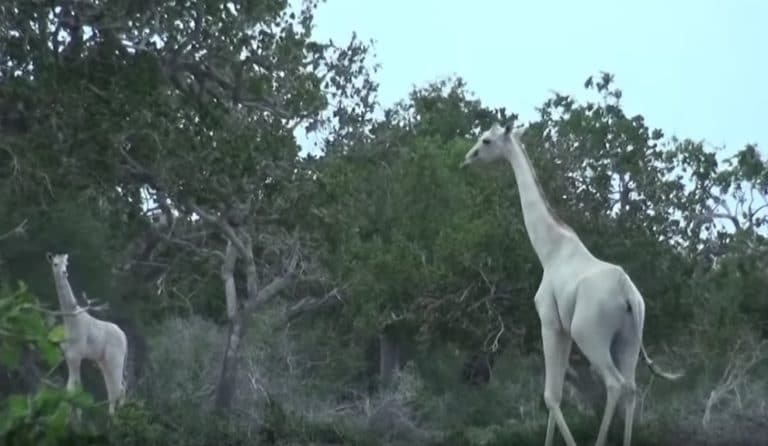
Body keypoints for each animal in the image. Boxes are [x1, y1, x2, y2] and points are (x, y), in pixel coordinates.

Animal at [47, 252, 128, 416]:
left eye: (66, 263)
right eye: (55, 264)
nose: (64, 272)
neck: (71, 320)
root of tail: (124, 337)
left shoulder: (76, 355)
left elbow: (74, 389)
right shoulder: (69, 356)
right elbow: (70, 389)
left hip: (115, 358)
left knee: (119, 388)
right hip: (103, 360)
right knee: (114, 388)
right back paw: (112, 416)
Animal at [460, 123, 683, 446]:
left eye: (486, 140)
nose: (468, 159)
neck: (550, 250)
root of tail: (628, 295)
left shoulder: (550, 323)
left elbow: (551, 396)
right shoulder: (563, 329)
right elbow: (556, 396)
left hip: (589, 334)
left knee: (614, 384)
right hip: (629, 339)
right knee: (631, 387)